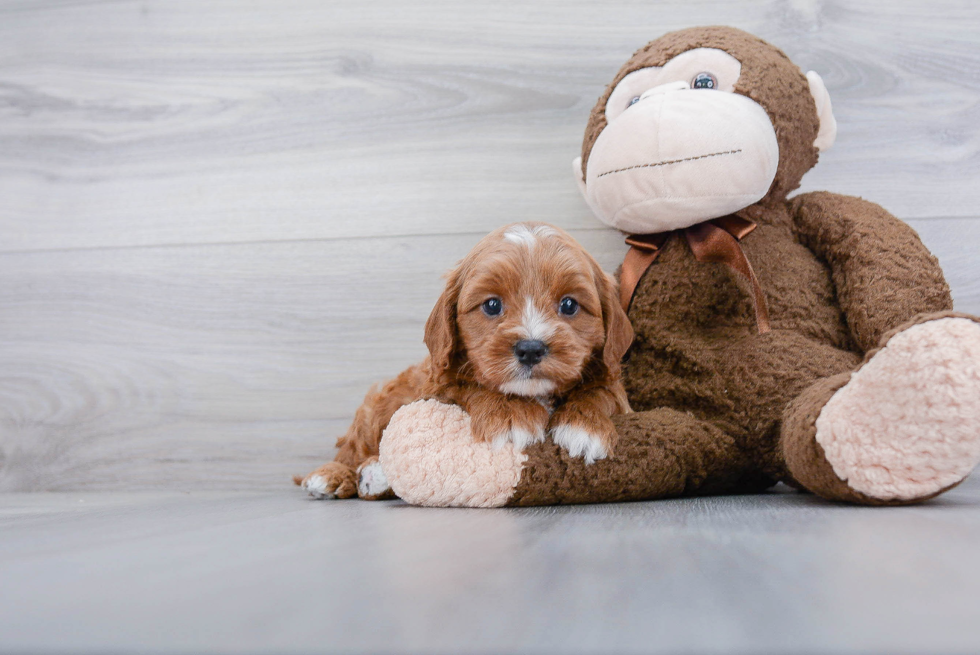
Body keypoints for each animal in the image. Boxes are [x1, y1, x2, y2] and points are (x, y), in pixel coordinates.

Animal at [296, 223, 636, 500]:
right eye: (492, 305)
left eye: (569, 305)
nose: (530, 348)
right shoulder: (437, 385)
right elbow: (470, 385)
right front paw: (510, 415)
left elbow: (603, 391)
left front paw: (584, 426)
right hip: (377, 407)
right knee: (353, 448)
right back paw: (331, 476)